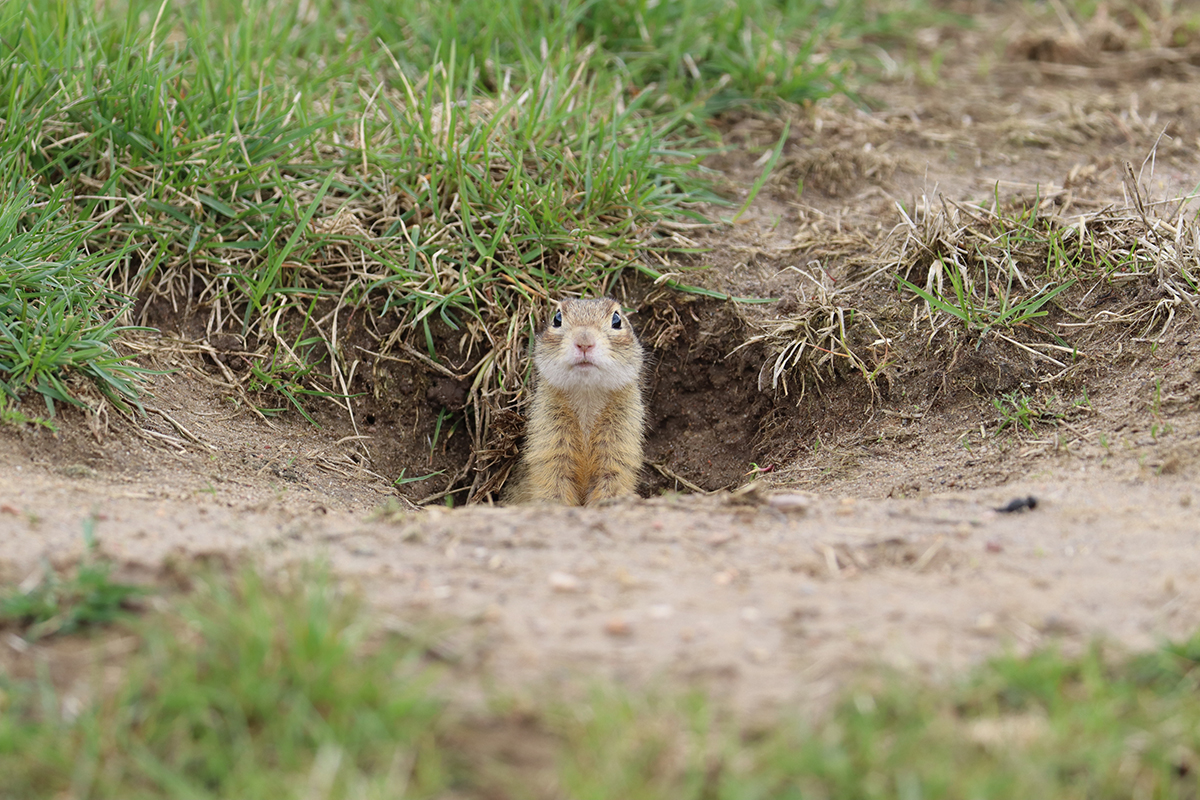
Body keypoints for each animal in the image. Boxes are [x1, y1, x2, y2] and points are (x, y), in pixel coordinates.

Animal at [511, 297, 652, 503]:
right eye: (557, 318)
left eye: (617, 320)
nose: (584, 342)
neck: (587, 398)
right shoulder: (550, 444)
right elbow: (553, 485)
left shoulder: (618, 446)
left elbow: (611, 482)